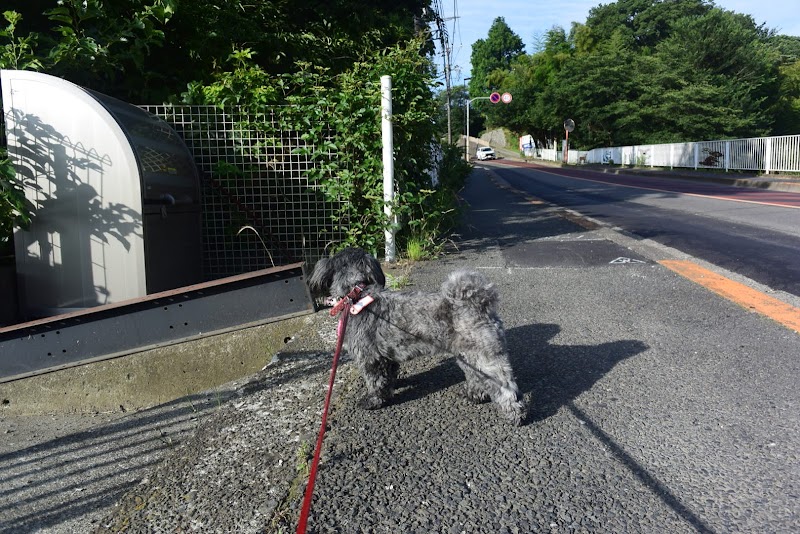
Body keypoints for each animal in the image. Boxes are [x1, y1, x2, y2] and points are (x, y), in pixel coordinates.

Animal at [308, 247, 524, 428]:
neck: (357, 296)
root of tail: (478, 303)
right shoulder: (386, 356)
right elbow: (388, 376)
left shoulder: (369, 358)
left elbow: (375, 381)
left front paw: (373, 401)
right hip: (468, 355)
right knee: (476, 377)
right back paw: (473, 395)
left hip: (486, 355)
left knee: (505, 385)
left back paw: (514, 415)